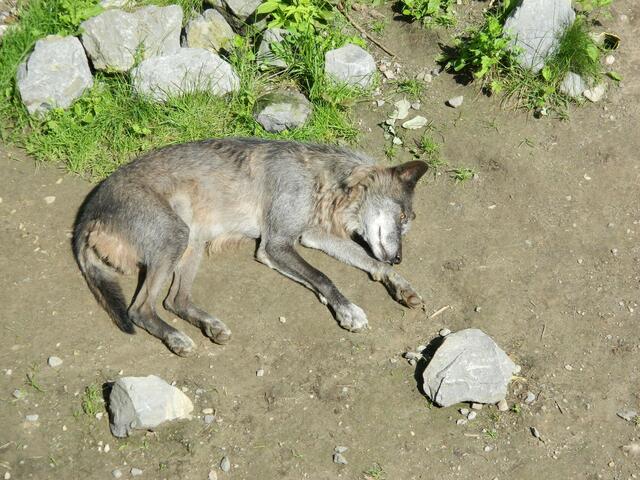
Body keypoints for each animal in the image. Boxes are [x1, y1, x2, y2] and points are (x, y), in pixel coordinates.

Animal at [73, 138, 428, 356]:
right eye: (402, 217)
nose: (399, 258)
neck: (323, 178)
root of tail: (87, 216)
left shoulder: (309, 237)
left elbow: (369, 262)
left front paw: (401, 285)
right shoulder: (276, 245)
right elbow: (323, 277)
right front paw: (348, 311)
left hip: (192, 243)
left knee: (175, 301)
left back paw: (211, 326)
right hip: (175, 238)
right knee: (140, 309)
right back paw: (176, 338)